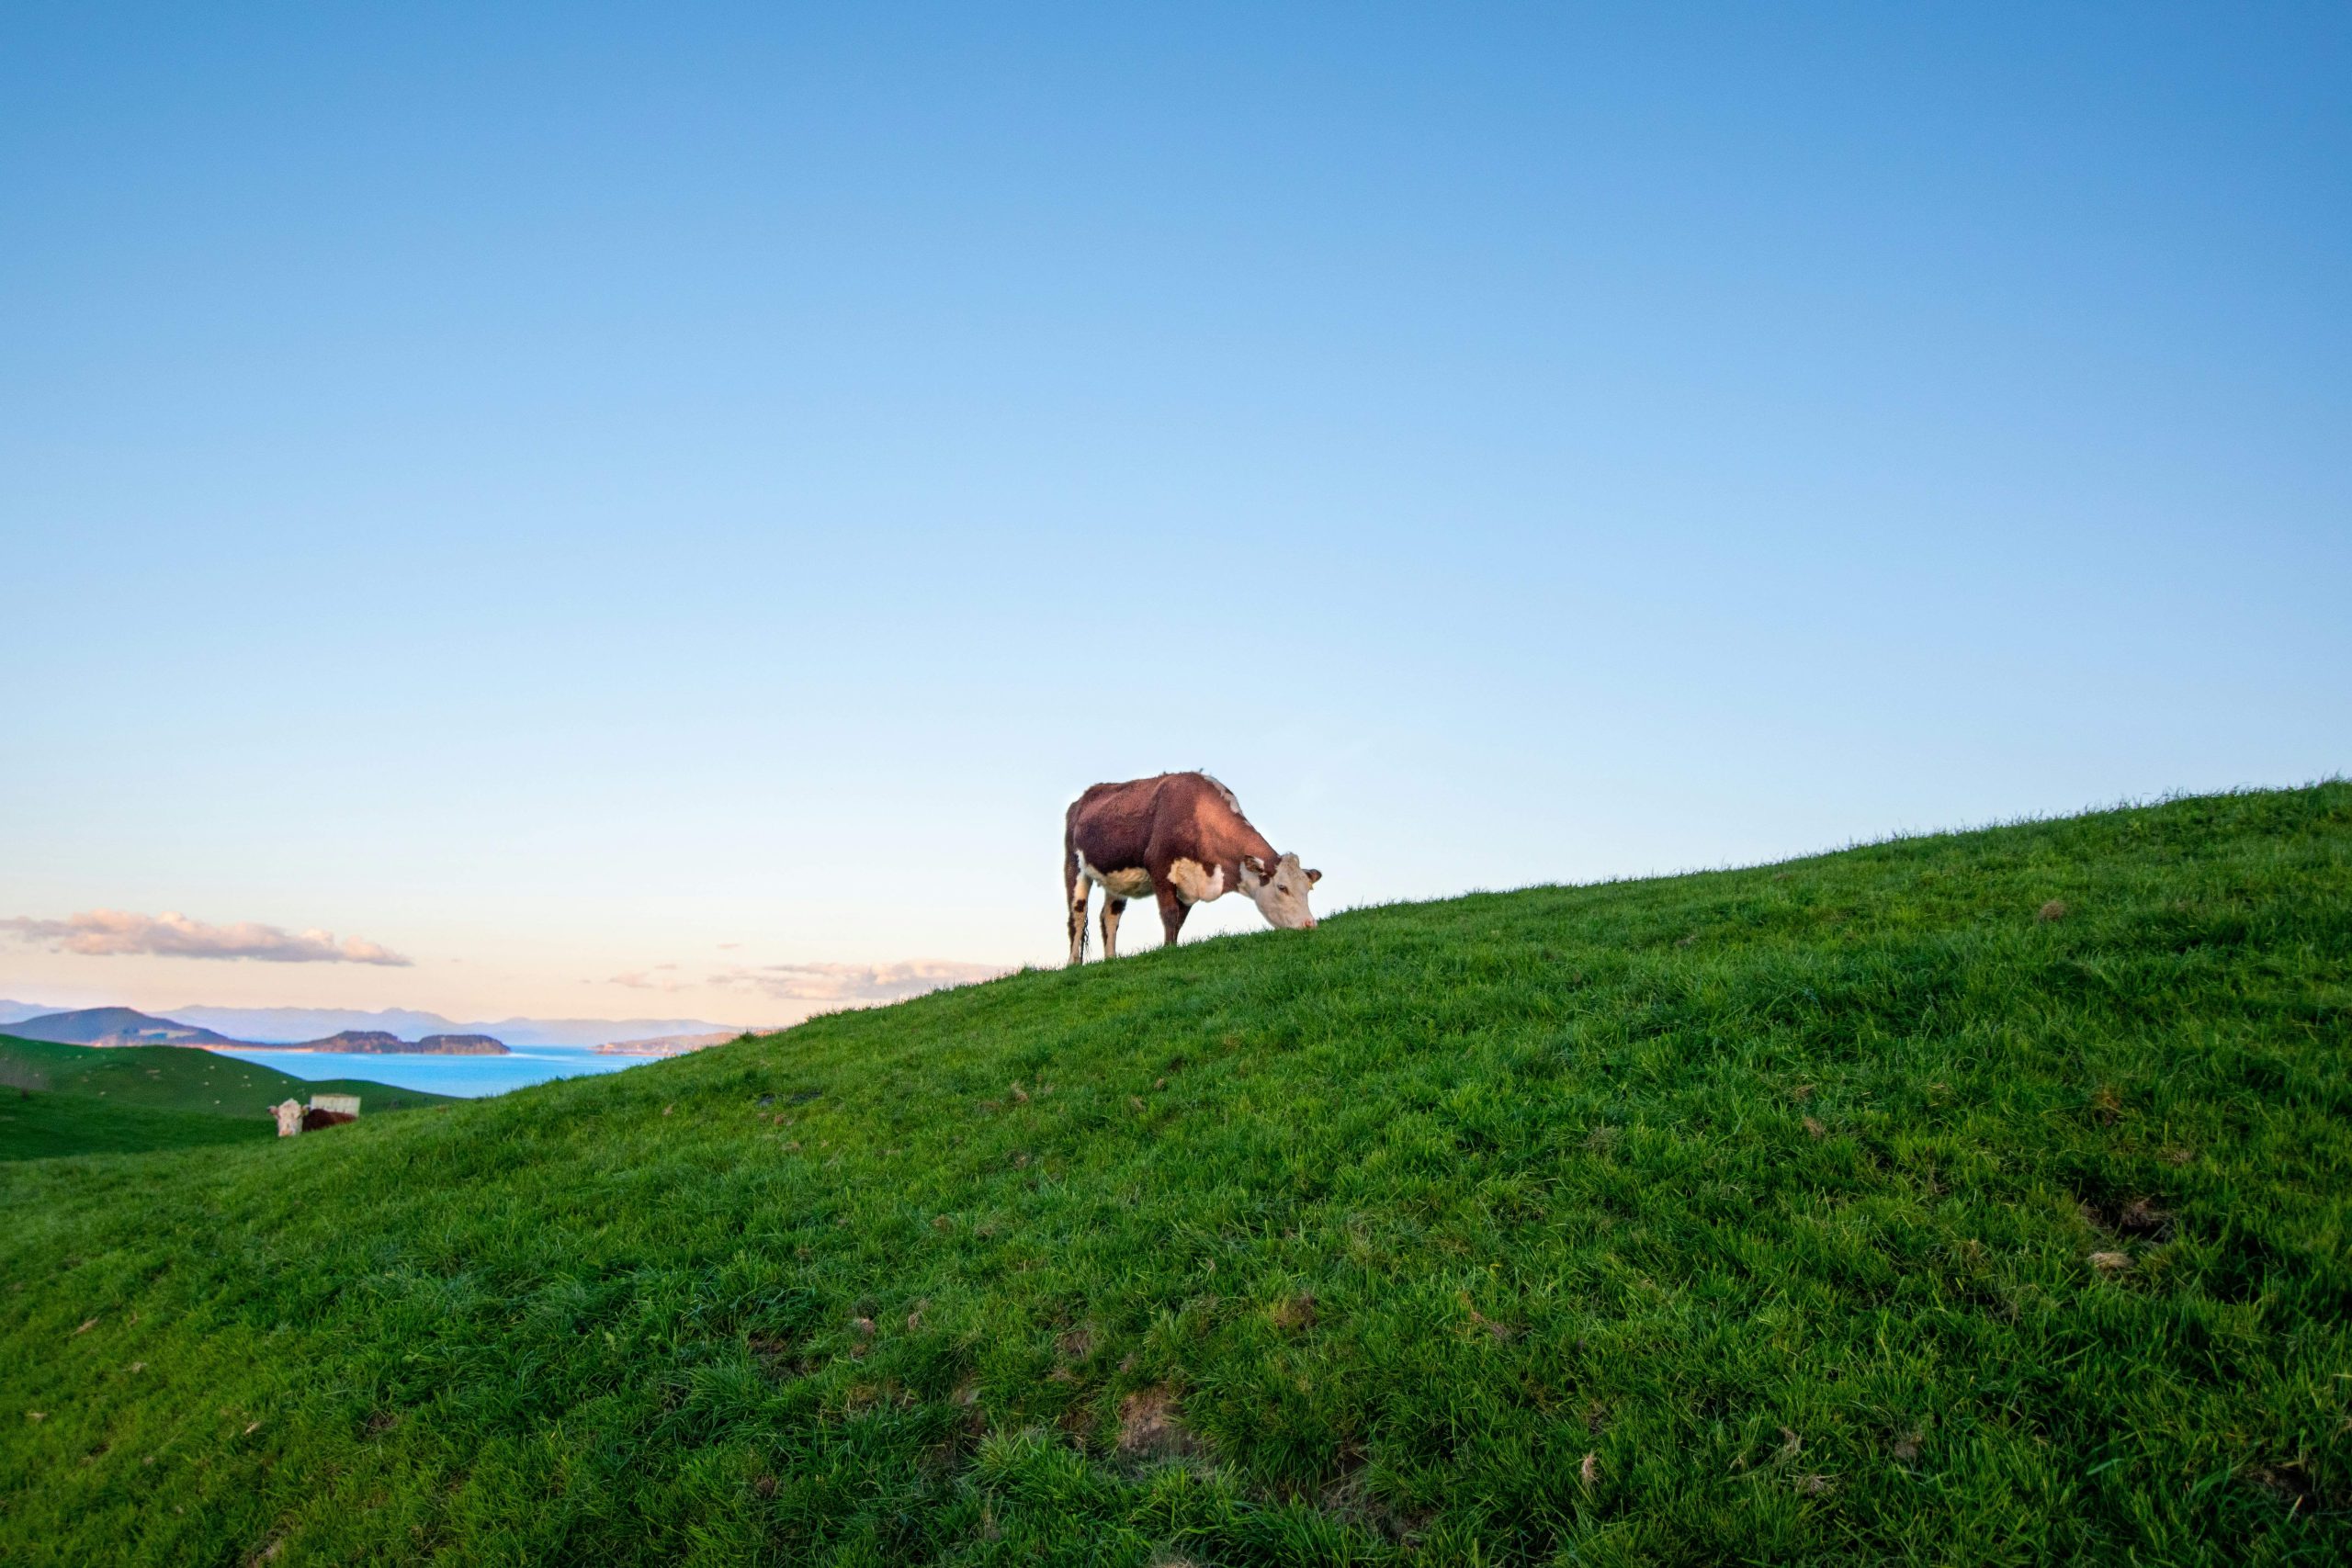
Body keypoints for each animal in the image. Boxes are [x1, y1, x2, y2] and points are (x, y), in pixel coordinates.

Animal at [1065, 771, 1320, 963]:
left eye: (1308, 889)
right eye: (1282, 887)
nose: (1310, 924)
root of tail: (1082, 799)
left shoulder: (1191, 887)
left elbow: (1179, 919)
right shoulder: (1160, 867)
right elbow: (1169, 914)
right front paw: (1168, 950)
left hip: (1117, 880)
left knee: (1109, 916)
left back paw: (1111, 960)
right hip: (1074, 865)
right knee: (1077, 914)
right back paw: (1073, 964)